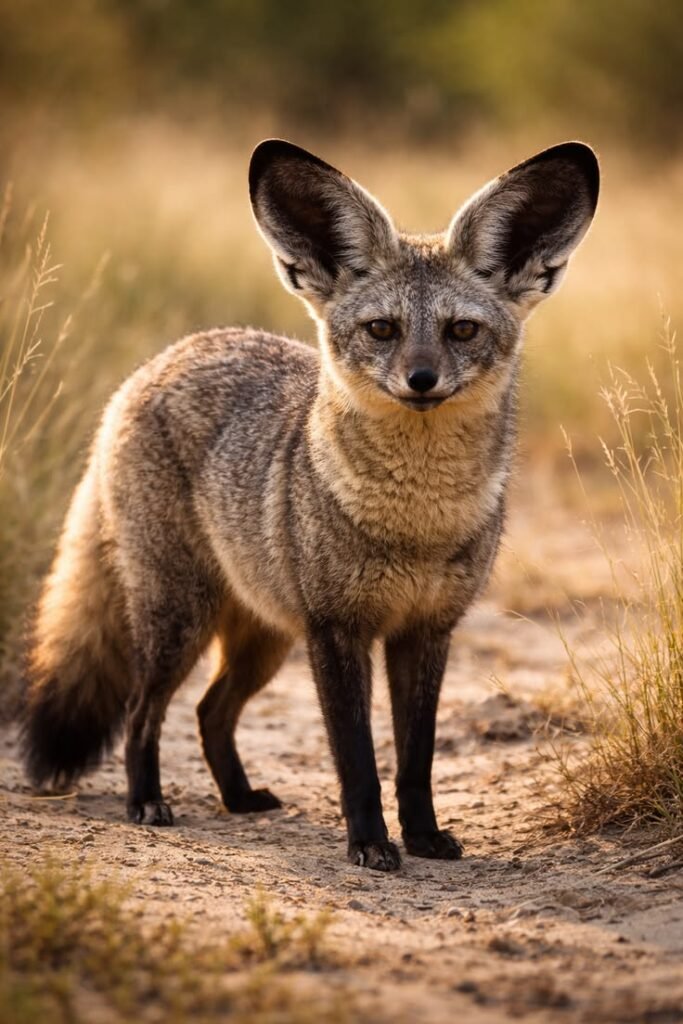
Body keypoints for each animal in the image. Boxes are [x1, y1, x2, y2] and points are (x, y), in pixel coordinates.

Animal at [22, 139, 599, 871]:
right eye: (382, 329)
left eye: (462, 331)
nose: (421, 380)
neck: (416, 524)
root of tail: (167, 357)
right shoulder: (337, 631)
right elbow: (357, 759)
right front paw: (371, 844)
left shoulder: (426, 631)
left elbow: (415, 760)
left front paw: (423, 837)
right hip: (181, 621)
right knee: (140, 712)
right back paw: (146, 802)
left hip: (263, 638)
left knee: (209, 711)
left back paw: (240, 799)